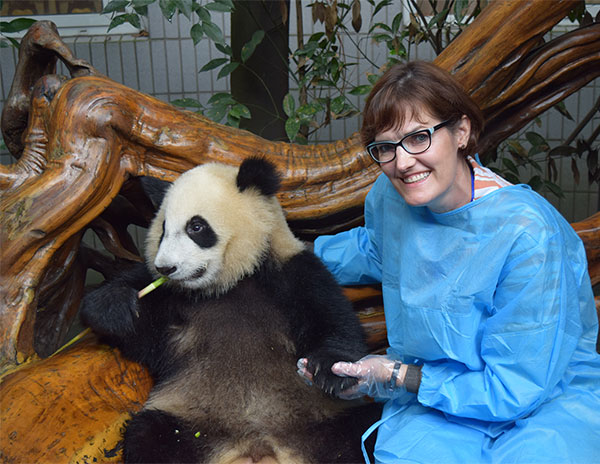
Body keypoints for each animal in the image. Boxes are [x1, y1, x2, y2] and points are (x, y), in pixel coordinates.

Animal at [78, 158, 380, 462]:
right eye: (162, 229)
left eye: (196, 227)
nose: (165, 268)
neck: (230, 282)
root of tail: (258, 447)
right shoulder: (170, 301)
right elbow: (144, 338)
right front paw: (115, 306)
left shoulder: (290, 269)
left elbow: (330, 317)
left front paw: (329, 370)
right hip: (192, 420)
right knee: (150, 435)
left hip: (320, 421)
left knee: (362, 430)